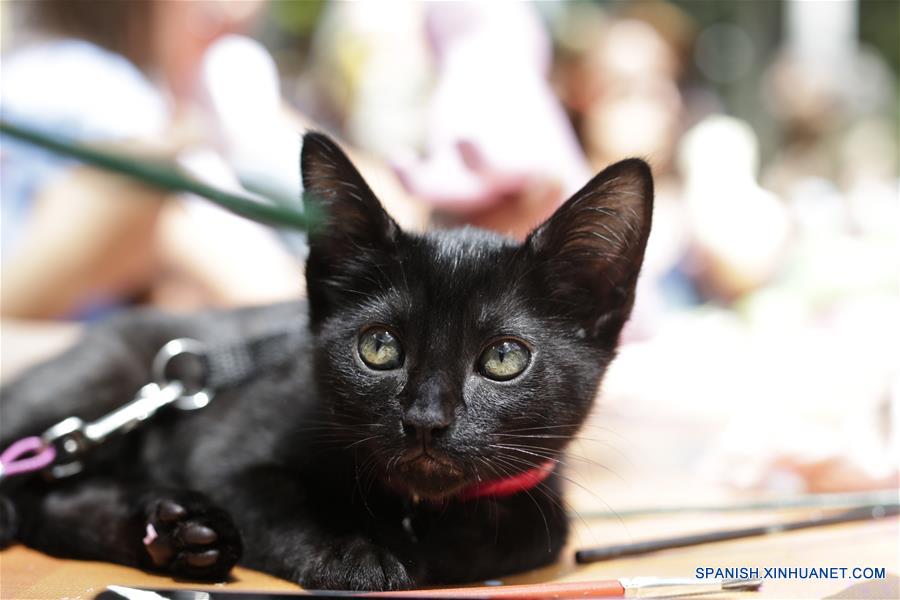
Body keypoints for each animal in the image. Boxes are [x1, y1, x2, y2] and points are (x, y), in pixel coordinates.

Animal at [0, 132, 652, 592]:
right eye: (379, 347)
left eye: (504, 358)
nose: (425, 419)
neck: (410, 506)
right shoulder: (224, 457)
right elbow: (279, 505)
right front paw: (351, 555)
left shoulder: (540, 506)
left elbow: (512, 531)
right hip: (94, 379)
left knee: (52, 504)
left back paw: (177, 532)